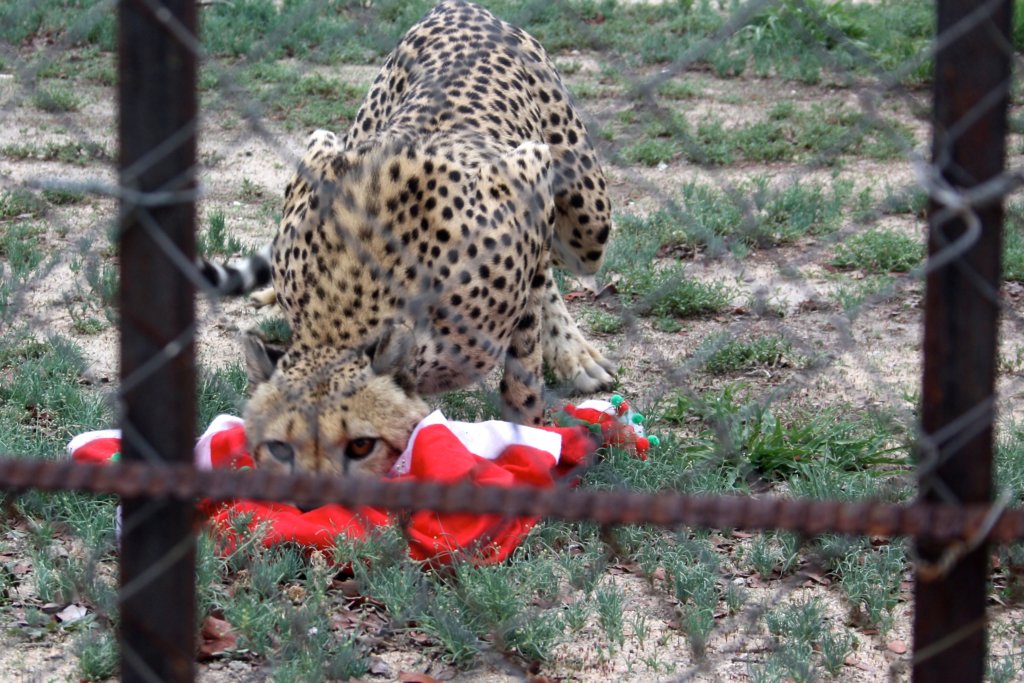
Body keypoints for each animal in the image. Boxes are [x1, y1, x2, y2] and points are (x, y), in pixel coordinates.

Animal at [207, 0, 617, 477]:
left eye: (359, 445)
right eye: (279, 448)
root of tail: (460, 7)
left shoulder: (525, 172)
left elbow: (524, 368)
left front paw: (529, 438)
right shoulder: (320, 154)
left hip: (588, 221)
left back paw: (576, 355)